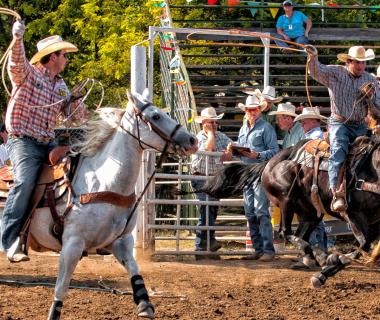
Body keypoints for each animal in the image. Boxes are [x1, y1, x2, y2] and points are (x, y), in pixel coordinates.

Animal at [199, 135, 380, 288]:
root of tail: (270, 162)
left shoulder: (374, 224)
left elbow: (362, 248)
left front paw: (325, 272)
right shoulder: (354, 215)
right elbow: (361, 246)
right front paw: (325, 268)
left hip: (310, 212)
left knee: (300, 235)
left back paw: (313, 258)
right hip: (286, 201)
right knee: (285, 232)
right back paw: (321, 256)